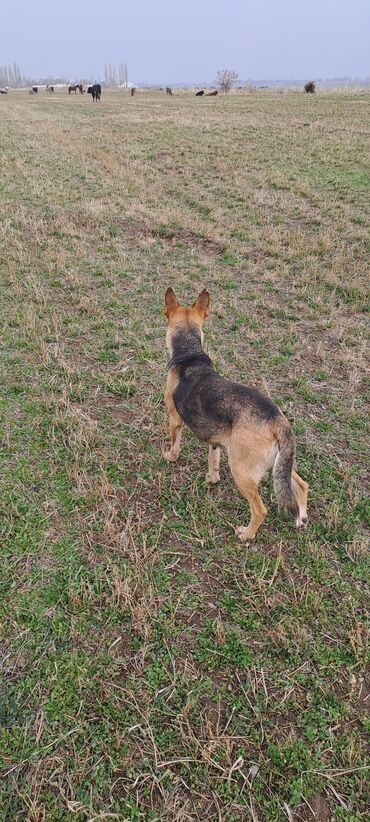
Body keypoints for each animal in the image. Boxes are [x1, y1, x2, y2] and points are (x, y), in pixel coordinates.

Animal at [163, 286, 308, 544]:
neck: (190, 353)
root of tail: (277, 420)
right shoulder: (216, 440)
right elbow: (213, 460)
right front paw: (211, 478)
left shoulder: (175, 419)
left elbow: (175, 443)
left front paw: (171, 456)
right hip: (280, 464)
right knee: (300, 484)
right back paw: (301, 517)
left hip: (241, 470)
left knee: (260, 509)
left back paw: (246, 534)